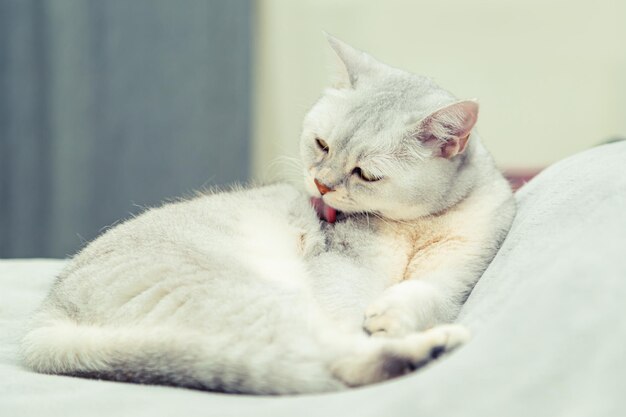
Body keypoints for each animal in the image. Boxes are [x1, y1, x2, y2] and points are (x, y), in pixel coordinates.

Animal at [22, 35, 516, 394]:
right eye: (321, 145)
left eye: (365, 174)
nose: (321, 185)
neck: (418, 224)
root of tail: (47, 314)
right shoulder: (341, 270)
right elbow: (352, 309)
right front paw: (380, 322)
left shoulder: (457, 274)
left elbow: (425, 294)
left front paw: (392, 314)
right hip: (253, 297)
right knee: (329, 358)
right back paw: (430, 348)